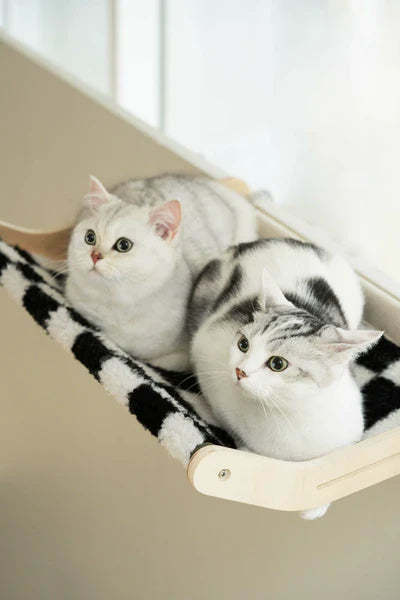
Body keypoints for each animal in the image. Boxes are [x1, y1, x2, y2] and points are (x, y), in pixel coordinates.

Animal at [65, 174, 257, 370]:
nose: (95, 255)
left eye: (123, 245)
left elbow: (151, 359)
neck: (115, 303)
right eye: (90, 237)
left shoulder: (181, 357)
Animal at [188, 238, 382, 518]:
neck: (288, 414)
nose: (240, 371)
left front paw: (316, 507)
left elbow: (331, 468)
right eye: (243, 345)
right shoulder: (206, 350)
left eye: (277, 364)